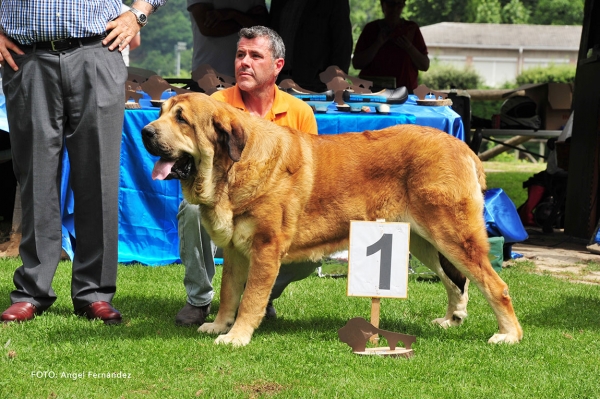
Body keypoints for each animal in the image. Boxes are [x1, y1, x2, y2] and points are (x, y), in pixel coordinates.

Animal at [141, 93, 520, 346]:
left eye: (181, 119)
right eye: (160, 112)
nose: (146, 132)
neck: (231, 168)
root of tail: (463, 147)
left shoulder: (265, 248)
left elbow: (250, 298)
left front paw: (237, 336)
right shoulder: (236, 250)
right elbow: (229, 292)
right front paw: (220, 325)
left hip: (451, 234)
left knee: (494, 285)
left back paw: (508, 334)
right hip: (424, 240)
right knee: (455, 280)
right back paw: (451, 319)